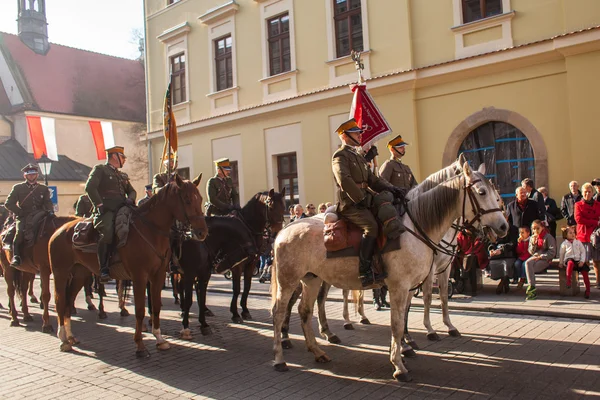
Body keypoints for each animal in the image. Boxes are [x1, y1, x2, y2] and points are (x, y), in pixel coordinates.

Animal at [49, 175, 209, 356]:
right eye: (187, 200)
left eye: (200, 199)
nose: (202, 232)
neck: (150, 230)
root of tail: (60, 230)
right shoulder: (139, 276)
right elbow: (140, 310)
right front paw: (140, 345)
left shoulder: (158, 275)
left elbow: (156, 306)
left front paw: (160, 339)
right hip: (61, 273)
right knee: (60, 301)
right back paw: (63, 339)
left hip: (80, 274)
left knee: (68, 302)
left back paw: (70, 337)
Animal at [270, 162, 504, 382]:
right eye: (482, 192)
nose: (503, 226)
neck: (415, 228)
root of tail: (285, 229)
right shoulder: (400, 286)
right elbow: (398, 323)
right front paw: (399, 366)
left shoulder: (413, 286)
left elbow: (407, 316)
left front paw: (404, 351)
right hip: (288, 281)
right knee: (279, 312)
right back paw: (280, 357)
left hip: (312, 279)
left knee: (305, 311)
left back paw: (318, 351)